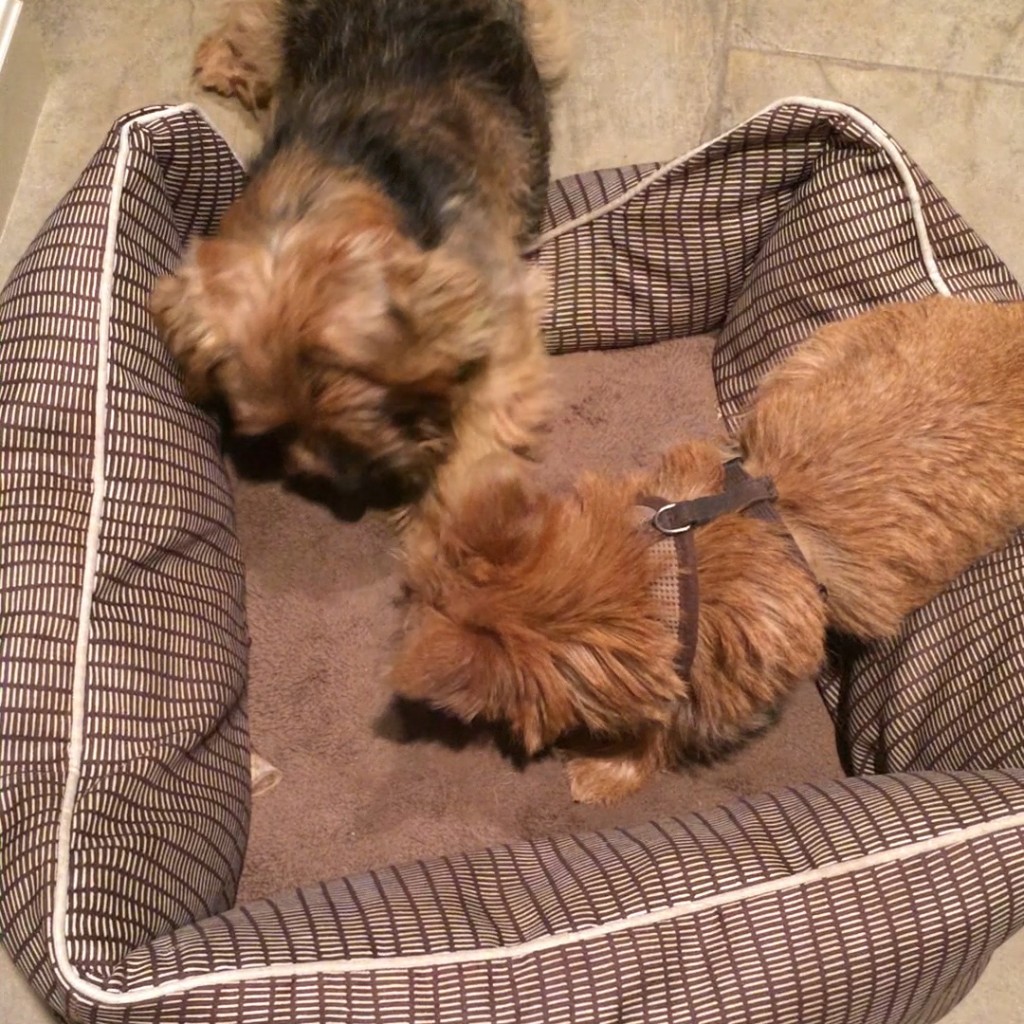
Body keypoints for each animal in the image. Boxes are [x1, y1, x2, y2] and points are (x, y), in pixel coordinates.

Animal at [152, 0, 569, 528]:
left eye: (352, 395)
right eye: (276, 427)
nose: (349, 493)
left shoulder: (495, 313)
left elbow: (477, 444)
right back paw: (224, 62)